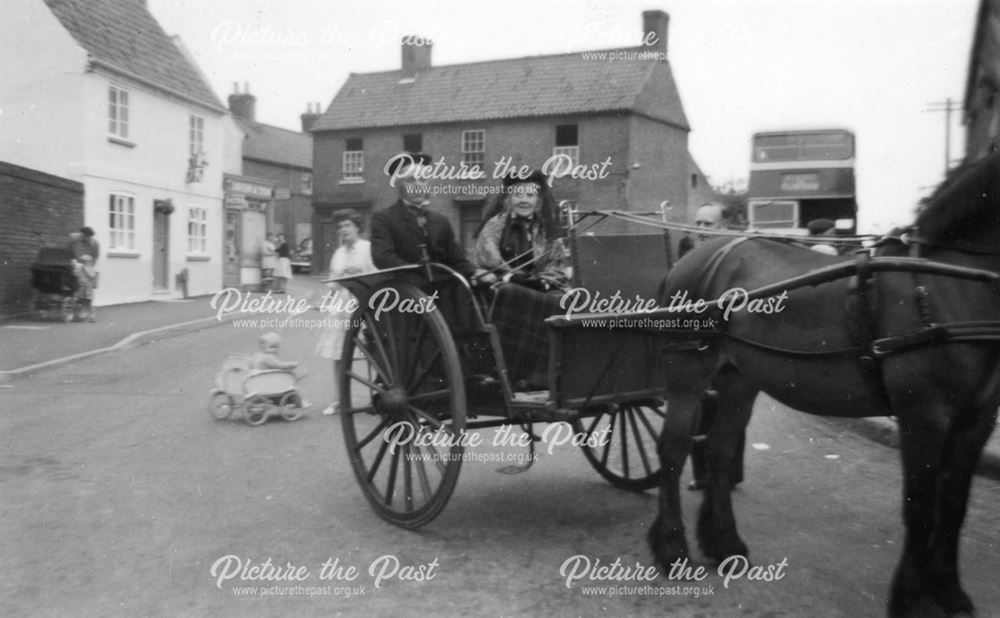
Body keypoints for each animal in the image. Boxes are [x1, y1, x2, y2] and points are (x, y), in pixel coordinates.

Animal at [648, 152, 1000, 612]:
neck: (946, 282)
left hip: (738, 377)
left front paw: (948, 589)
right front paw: (910, 598)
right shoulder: (923, 414)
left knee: (721, 450)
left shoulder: (977, 419)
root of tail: (699, 253)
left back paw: (724, 543)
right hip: (689, 372)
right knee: (672, 450)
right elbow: (920, 506)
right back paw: (672, 548)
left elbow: (955, 503)